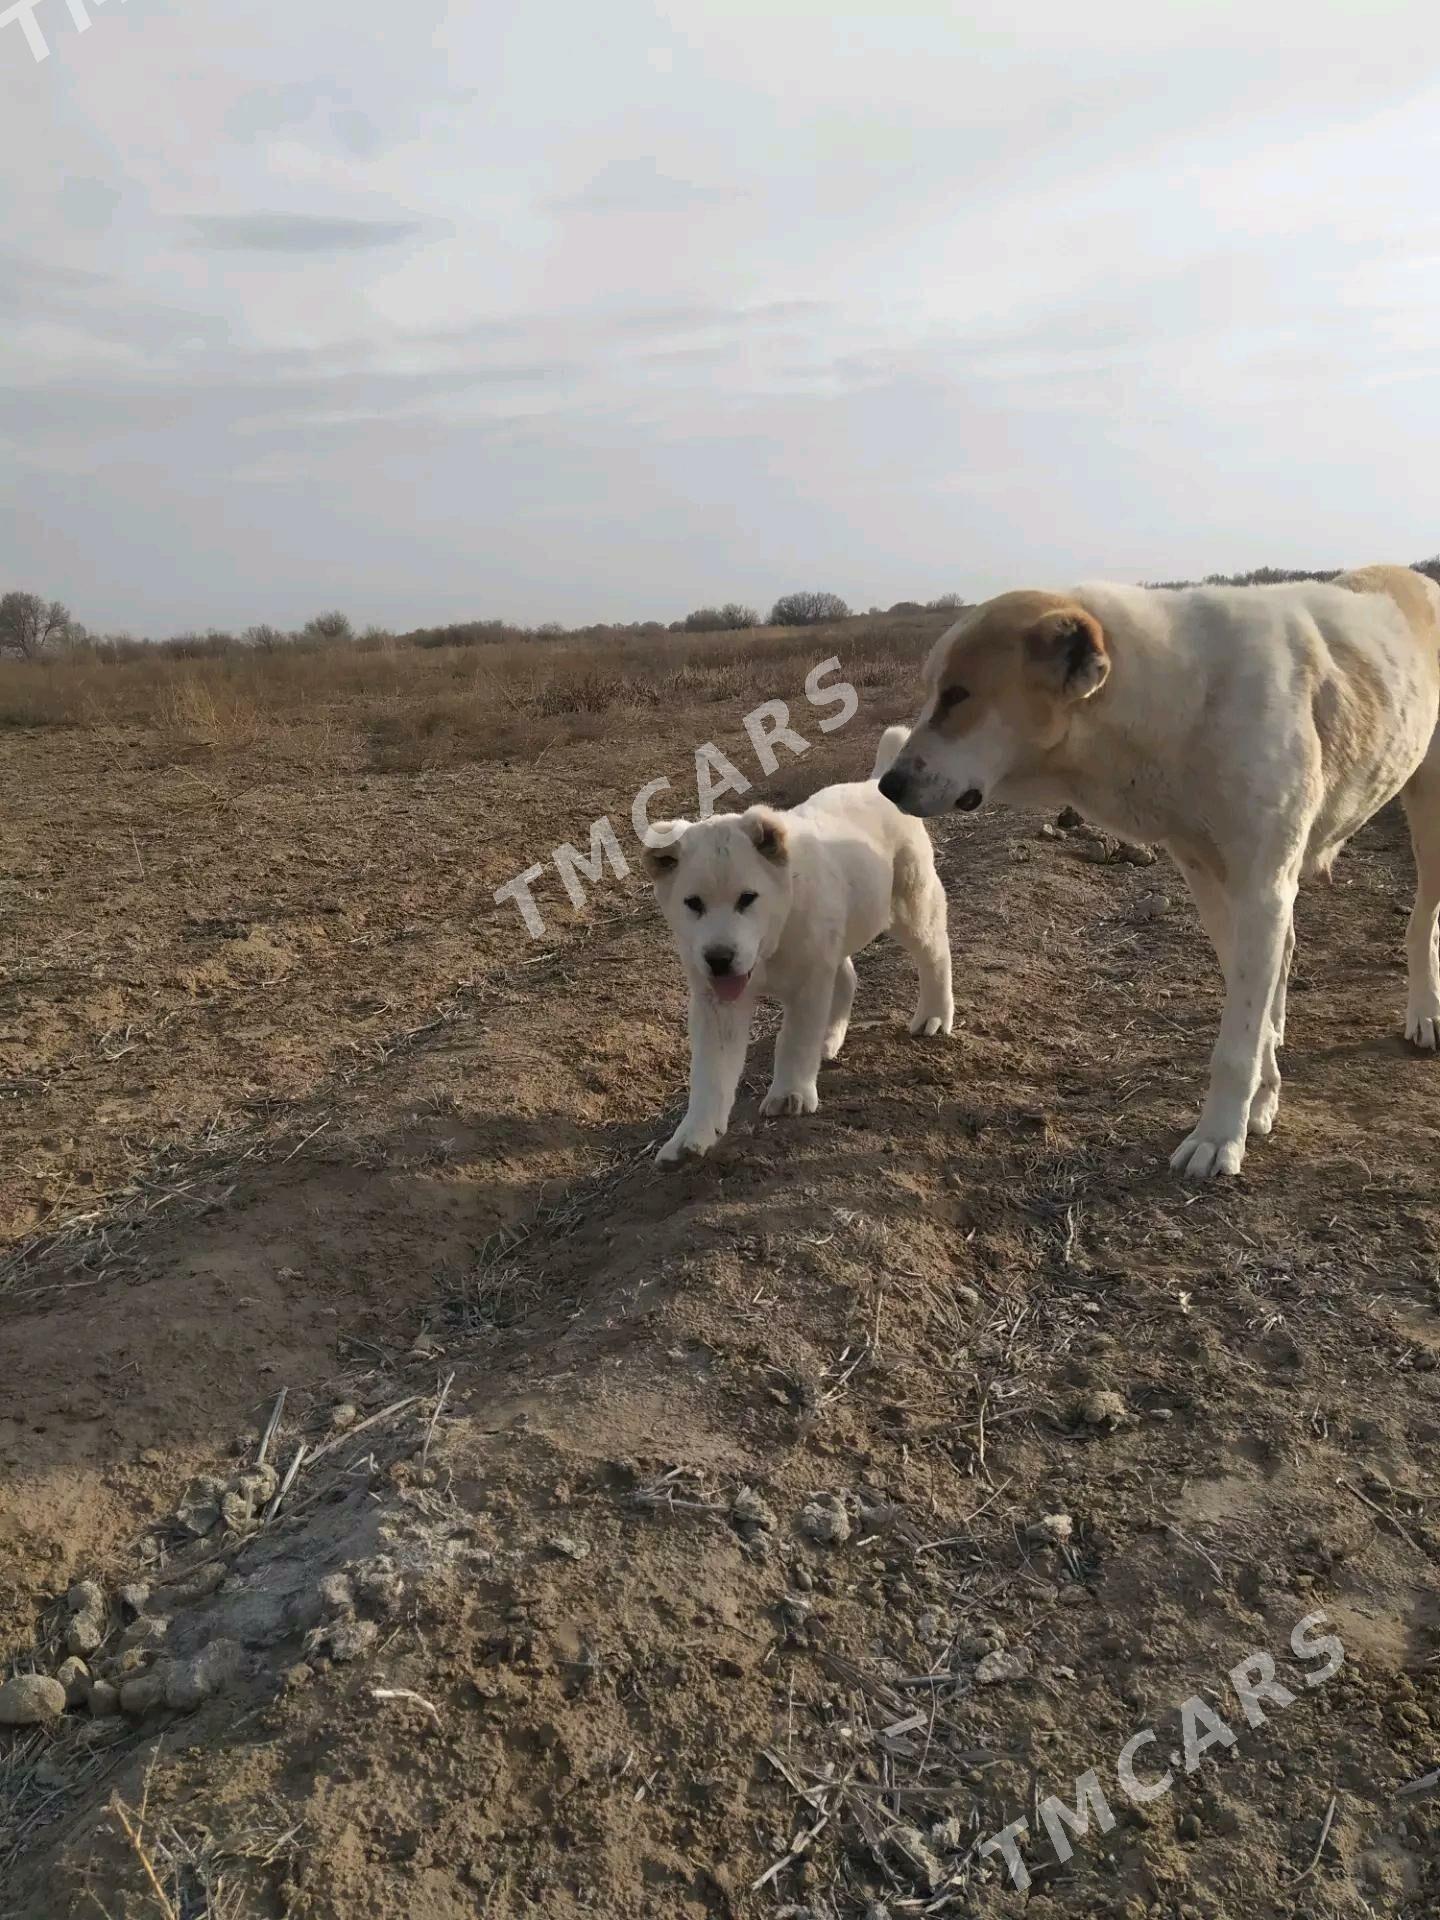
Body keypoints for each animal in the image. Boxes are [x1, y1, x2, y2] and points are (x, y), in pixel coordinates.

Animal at [648, 725, 952, 1159]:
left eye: (747, 898)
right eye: (693, 904)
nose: (719, 958)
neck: (772, 941)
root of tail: (875, 782)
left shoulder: (808, 982)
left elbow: (793, 1039)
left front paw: (790, 1093)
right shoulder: (717, 1002)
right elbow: (710, 1071)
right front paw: (693, 1134)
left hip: (913, 905)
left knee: (935, 955)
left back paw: (935, 1015)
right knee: (846, 977)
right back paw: (830, 1038)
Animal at [879, 560, 1440, 1175]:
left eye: (957, 695)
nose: (887, 786)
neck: (1181, 700)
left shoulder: (1260, 888)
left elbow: (1237, 1038)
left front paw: (1220, 1136)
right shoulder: (1210, 882)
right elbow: (1251, 1008)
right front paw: (1262, 1097)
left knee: (1420, 926)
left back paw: (1424, 1014)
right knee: (1289, 956)